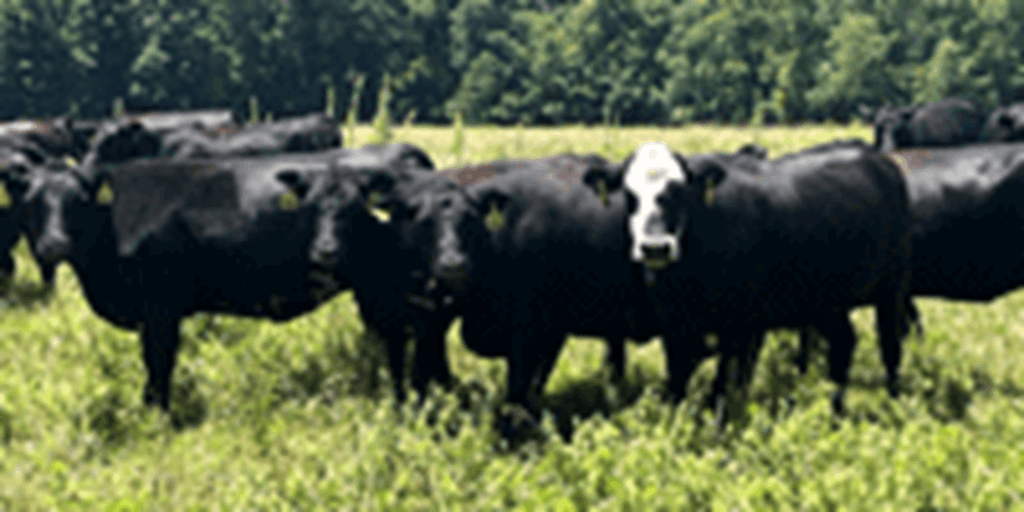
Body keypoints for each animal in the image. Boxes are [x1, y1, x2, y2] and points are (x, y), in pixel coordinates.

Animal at [17, 143, 437, 410]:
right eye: (33, 202)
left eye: (77, 201)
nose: (53, 245)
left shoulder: (160, 310)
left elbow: (158, 363)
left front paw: (157, 416)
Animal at [580, 140, 915, 426]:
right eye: (629, 195)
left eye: (678, 190)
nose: (655, 247)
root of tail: (878, 160)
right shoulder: (675, 326)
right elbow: (677, 382)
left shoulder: (736, 326)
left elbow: (721, 386)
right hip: (827, 301)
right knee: (844, 343)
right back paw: (835, 413)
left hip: (892, 287)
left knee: (890, 346)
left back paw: (893, 402)